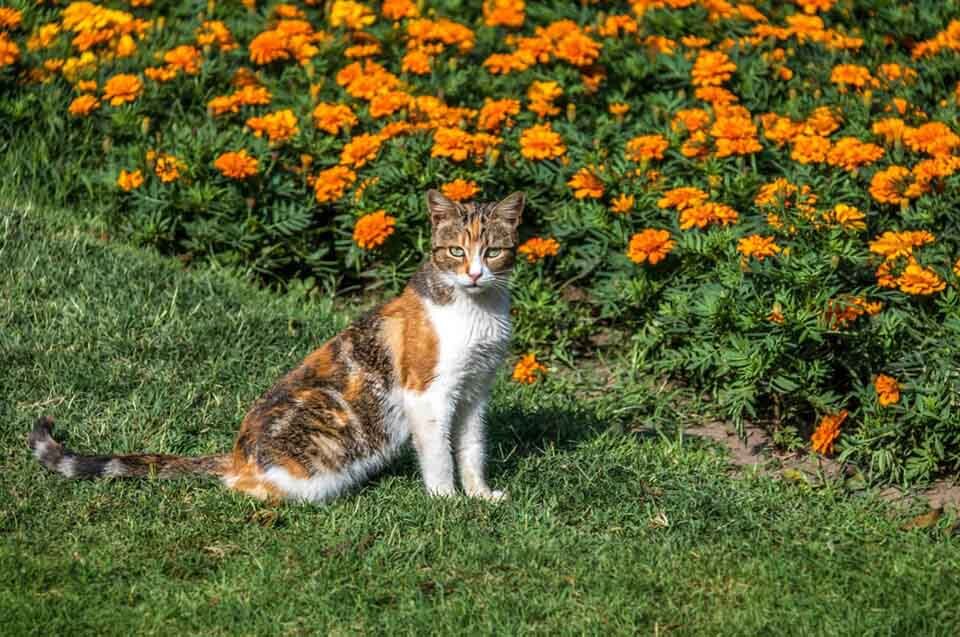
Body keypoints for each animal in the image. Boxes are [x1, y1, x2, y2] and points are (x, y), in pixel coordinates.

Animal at [28, 189, 524, 502]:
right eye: (456, 252)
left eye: (492, 252)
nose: (474, 274)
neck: (478, 311)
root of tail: (235, 455)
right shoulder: (428, 393)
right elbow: (438, 452)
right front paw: (446, 501)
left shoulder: (475, 391)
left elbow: (471, 447)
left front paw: (480, 495)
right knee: (244, 488)